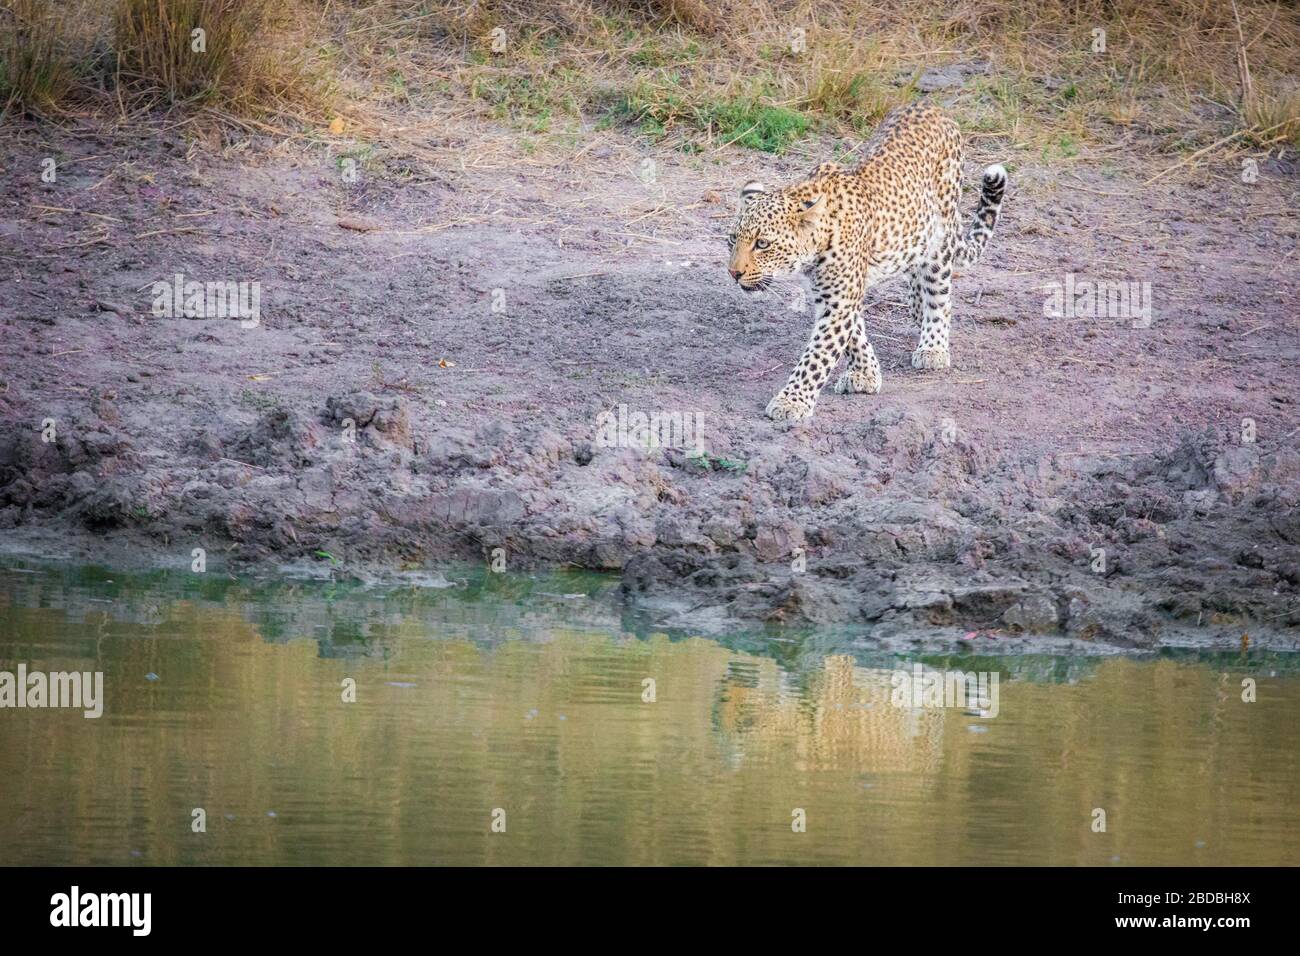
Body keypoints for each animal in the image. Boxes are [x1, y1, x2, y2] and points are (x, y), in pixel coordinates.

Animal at [728, 100, 1008, 421]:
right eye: (733, 239)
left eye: (762, 244)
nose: (734, 273)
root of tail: (931, 105)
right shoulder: (832, 295)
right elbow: (854, 337)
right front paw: (865, 374)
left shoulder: (840, 300)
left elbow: (817, 355)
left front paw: (791, 402)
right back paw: (917, 309)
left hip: (941, 236)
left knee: (939, 294)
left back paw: (933, 346)